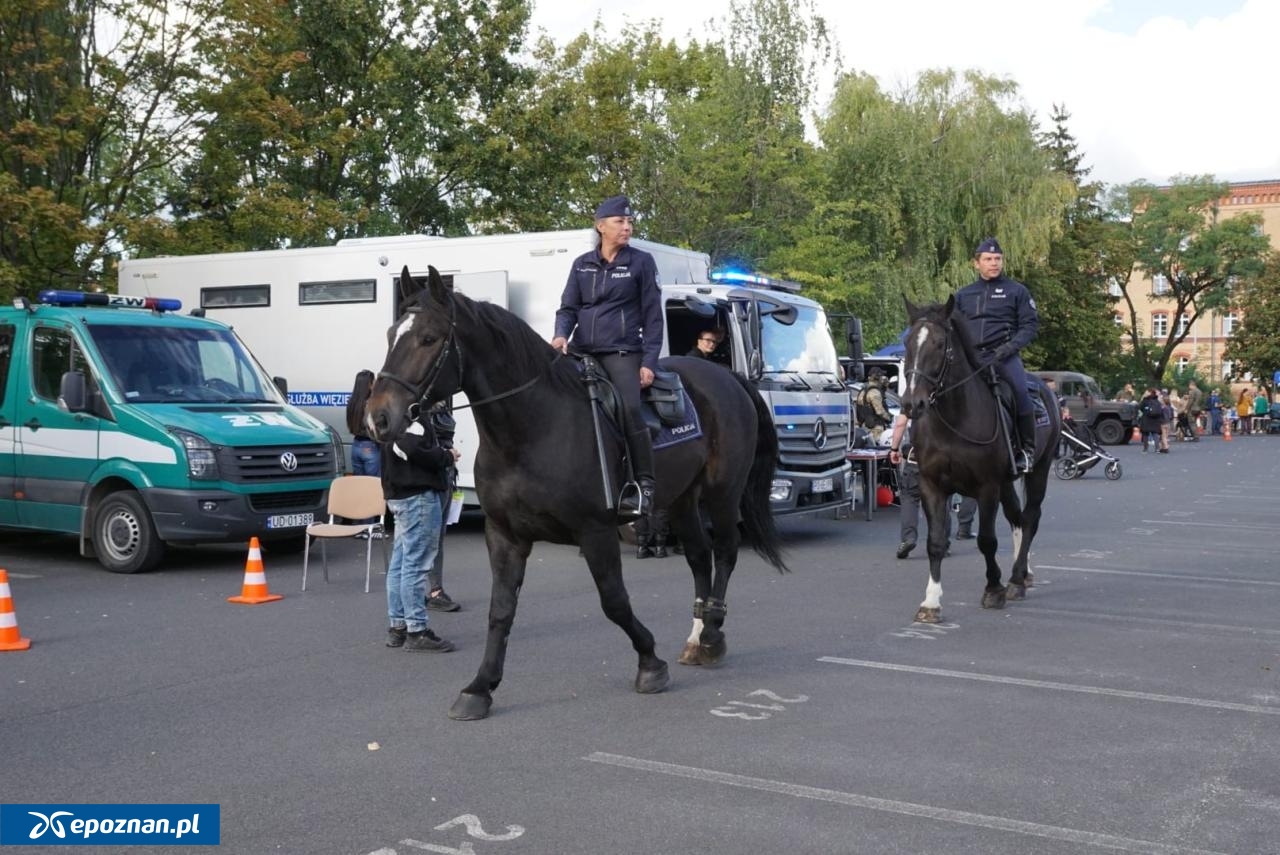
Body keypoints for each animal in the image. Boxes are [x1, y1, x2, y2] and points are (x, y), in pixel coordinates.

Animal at [366, 267, 783, 721]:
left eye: (429, 338)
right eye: (390, 335)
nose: (378, 417)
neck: (532, 429)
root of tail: (728, 377)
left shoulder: (596, 532)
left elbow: (614, 601)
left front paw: (650, 664)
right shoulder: (505, 536)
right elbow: (501, 611)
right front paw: (480, 688)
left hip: (723, 493)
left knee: (724, 552)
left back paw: (711, 636)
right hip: (682, 501)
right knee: (698, 556)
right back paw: (696, 636)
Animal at [896, 296, 1064, 624]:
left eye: (939, 344)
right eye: (908, 342)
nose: (912, 404)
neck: (954, 419)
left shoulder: (987, 488)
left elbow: (986, 540)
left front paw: (994, 589)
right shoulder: (932, 486)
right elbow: (935, 542)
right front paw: (931, 602)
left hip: (1038, 471)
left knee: (1030, 518)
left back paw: (1015, 578)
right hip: (1007, 483)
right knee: (1017, 519)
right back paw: (1022, 574)